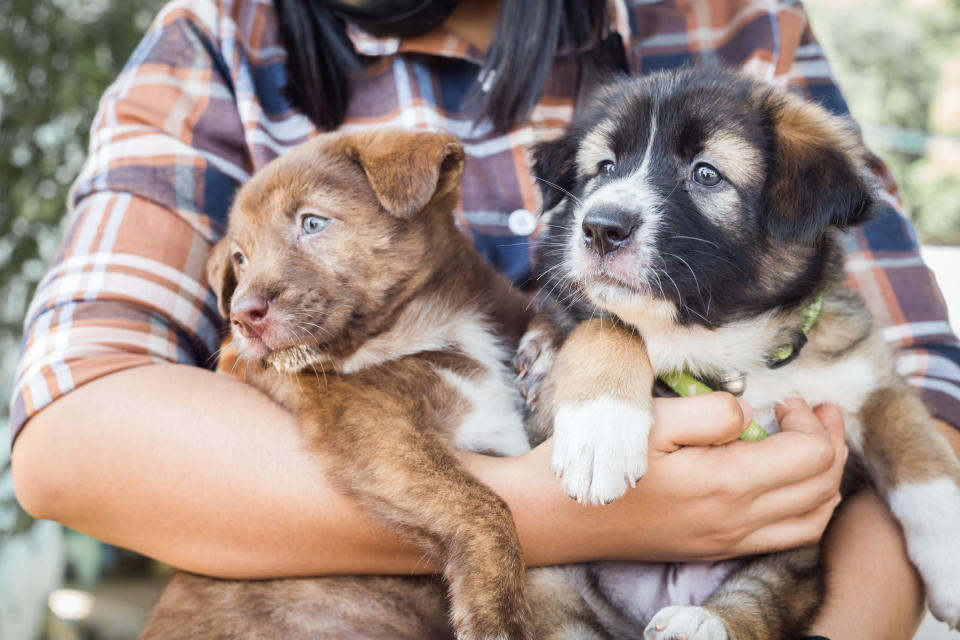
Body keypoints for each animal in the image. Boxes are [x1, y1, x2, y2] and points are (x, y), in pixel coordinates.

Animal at [141, 130, 540, 640]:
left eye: (312, 223)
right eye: (240, 259)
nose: (241, 316)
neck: (436, 329)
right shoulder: (371, 428)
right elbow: (481, 503)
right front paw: (499, 614)